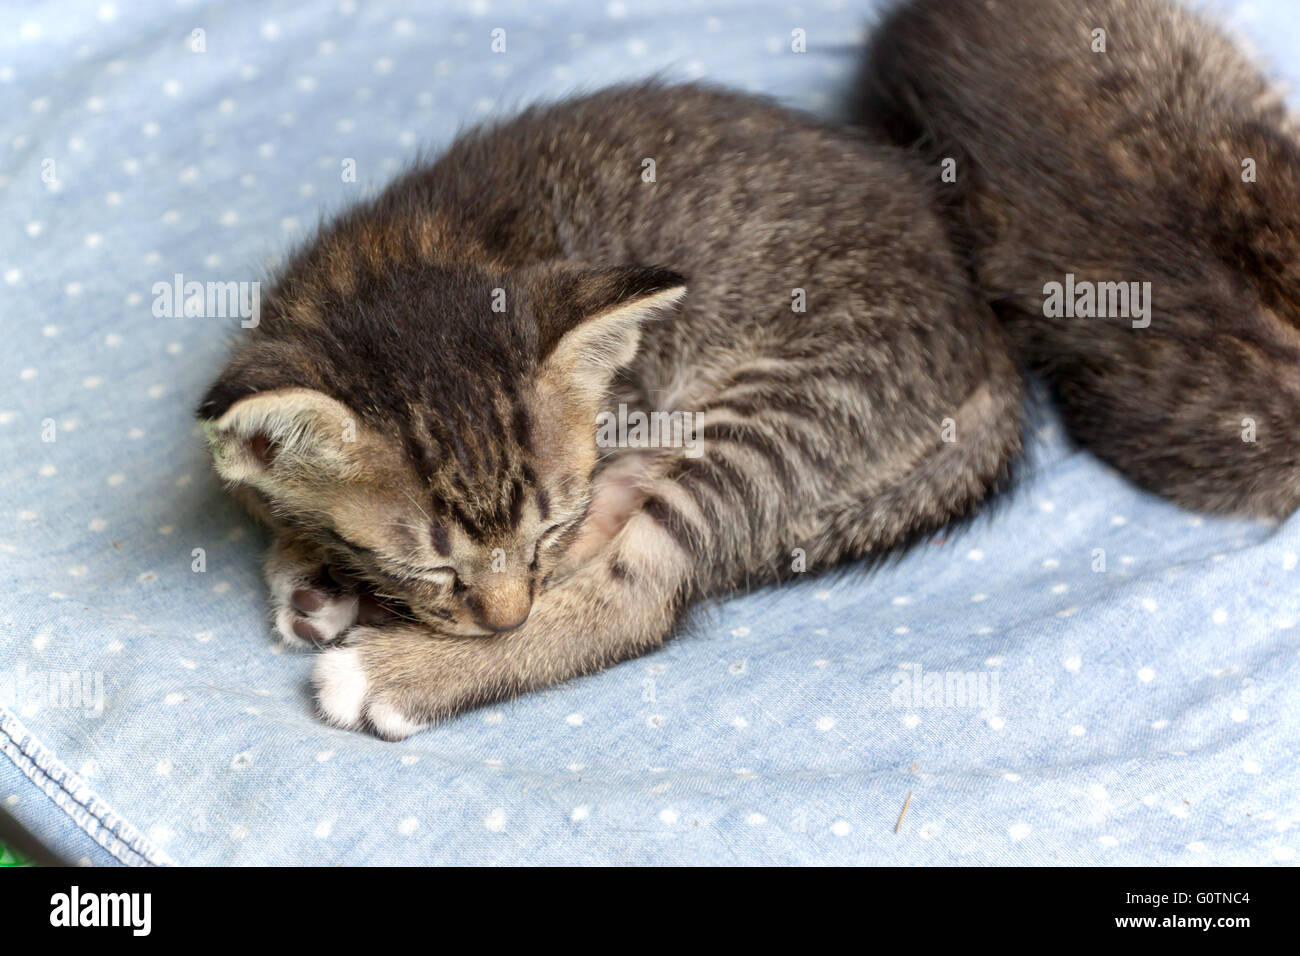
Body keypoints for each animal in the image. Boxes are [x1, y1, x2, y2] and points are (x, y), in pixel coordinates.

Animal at [197, 82, 1019, 738]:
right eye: (432, 567)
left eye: (545, 531)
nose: (508, 619)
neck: (399, 256)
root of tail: (980, 324)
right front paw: (311, 563)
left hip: (802, 397)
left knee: (641, 593)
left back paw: (395, 674)